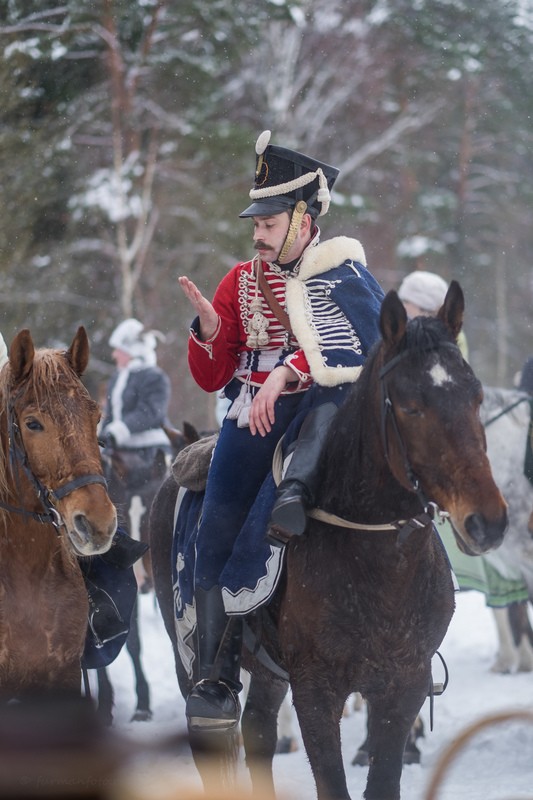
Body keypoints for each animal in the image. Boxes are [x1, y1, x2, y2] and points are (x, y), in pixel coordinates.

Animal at [149, 282, 508, 800]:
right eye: (410, 406)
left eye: (476, 397)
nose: (487, 521)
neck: (377, 562)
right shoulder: (316, 691)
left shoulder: (402, 686)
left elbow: (382, 782)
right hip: (192, 663)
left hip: (269, 674)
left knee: (259, 730)